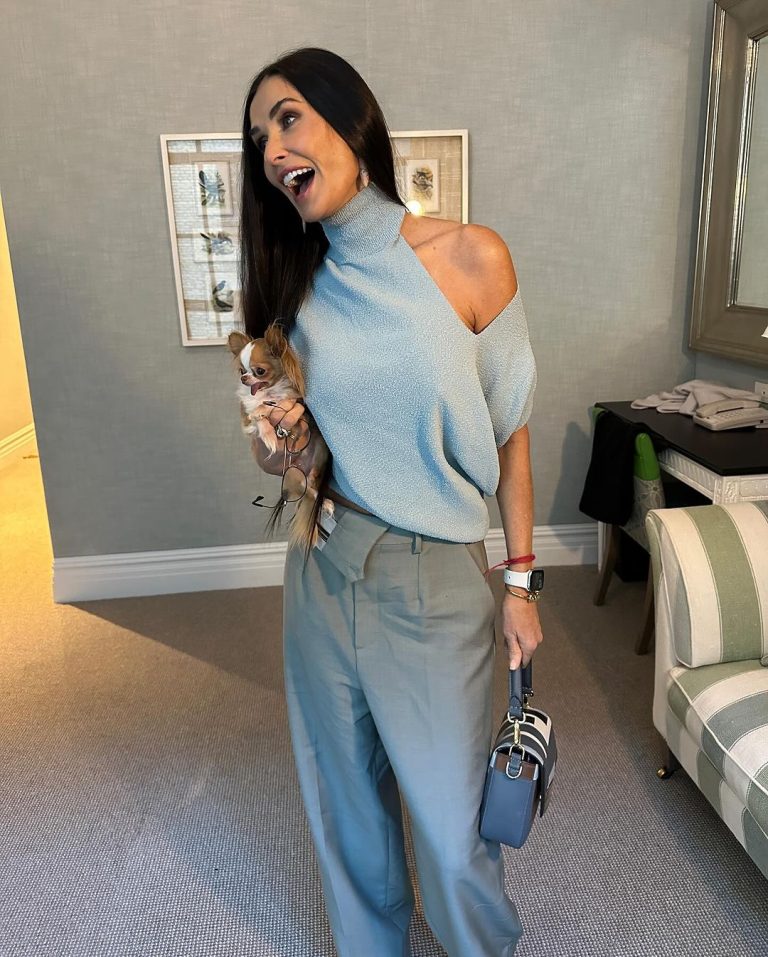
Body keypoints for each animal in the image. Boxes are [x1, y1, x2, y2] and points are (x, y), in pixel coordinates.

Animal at [227, 324, 331, 556]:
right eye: (241, 371)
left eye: (259, 371)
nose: (244, 379)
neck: (269, 393)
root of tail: (304, 472)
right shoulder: (247, 420)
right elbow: (258, 414)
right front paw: (268, 435)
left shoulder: (295, 408)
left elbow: (269, 408)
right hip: (295, 475)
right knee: (309, 492)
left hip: (317, 459)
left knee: (314, 489)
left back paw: (326, 502)